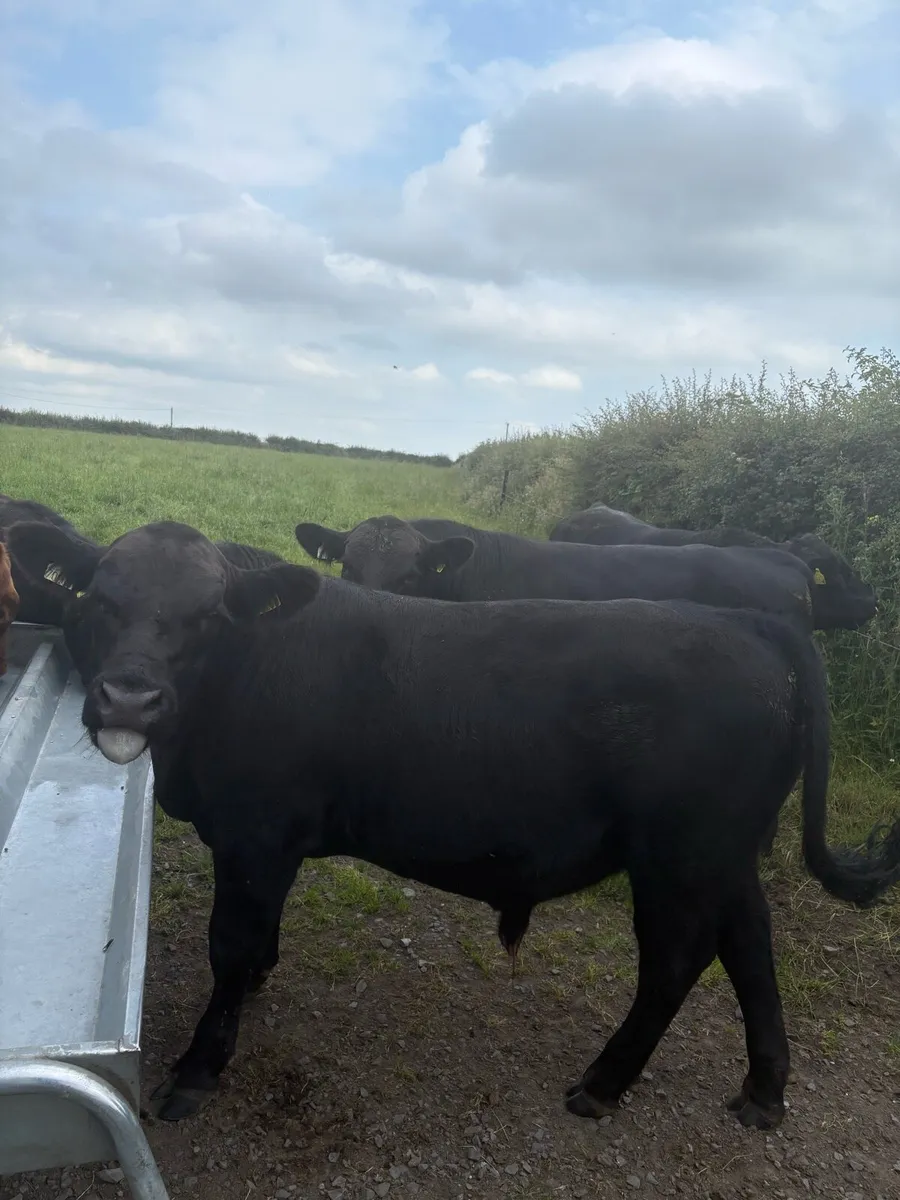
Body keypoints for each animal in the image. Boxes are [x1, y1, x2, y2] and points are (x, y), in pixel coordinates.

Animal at [8, 516, 900, 1133]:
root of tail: (750, 623)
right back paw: (763, 1090)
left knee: (676, 962)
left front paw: (199, 1069)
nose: (129, 699)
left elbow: (228, 948)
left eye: (206, 613)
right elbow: (254, 943)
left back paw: (602, 1085)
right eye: (99, 598)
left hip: (680, 857)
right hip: (723, 853)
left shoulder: (255, 833)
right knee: (750, 943)